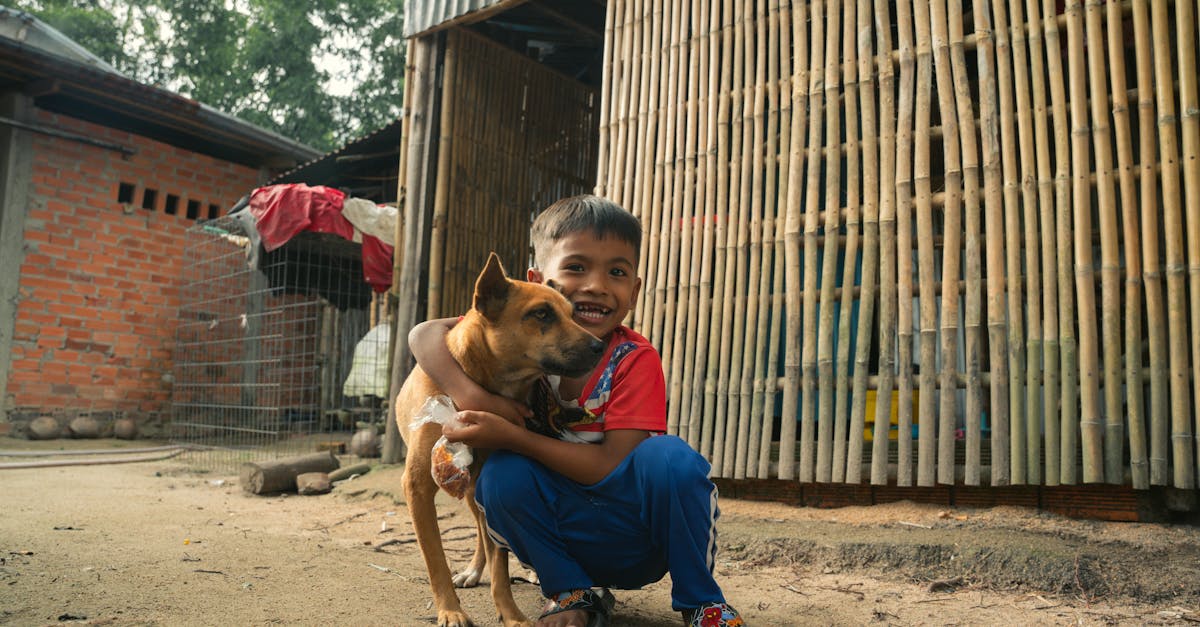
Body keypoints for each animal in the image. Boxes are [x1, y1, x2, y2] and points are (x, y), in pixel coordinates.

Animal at [393, 251, 604, 619]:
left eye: (573, 312)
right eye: (542, 313)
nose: (600, 345)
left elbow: (501, 568)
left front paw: (512, 615)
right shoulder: (417, 486)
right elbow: (436, 562)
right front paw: (450, 611)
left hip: (476, 485)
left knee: (484, 532)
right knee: (479, 531)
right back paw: (474, 570)